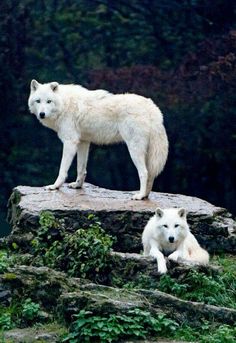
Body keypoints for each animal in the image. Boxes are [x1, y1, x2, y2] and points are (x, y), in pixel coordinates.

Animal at [27, 79, 169, 200]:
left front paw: (55, 186)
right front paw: (78, 185)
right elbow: (81, 168)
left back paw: (139, 196)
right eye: (38, 101)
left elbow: (62, 169)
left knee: (144, 172)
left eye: (49, 101)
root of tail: (151, 107)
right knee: (151, 174)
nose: (42, 114)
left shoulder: (70, 142)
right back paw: (145, 195)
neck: (64, 104)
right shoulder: (83, 142)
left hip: (134, 150)